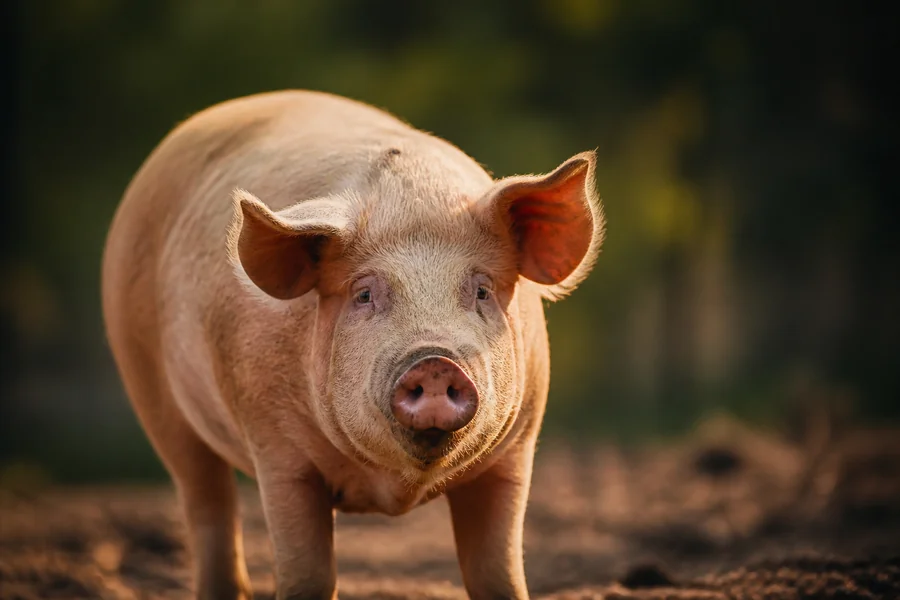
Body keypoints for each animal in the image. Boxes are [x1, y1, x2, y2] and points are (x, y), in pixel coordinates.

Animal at [101, 90, 604, 600]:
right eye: (364, 294)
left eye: (482, 290)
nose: (435, 362)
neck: (394, 488)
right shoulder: (277, 452)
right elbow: (308, 573)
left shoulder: (517, 448)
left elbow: (497, 571)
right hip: (147, 383)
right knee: (206, 502)